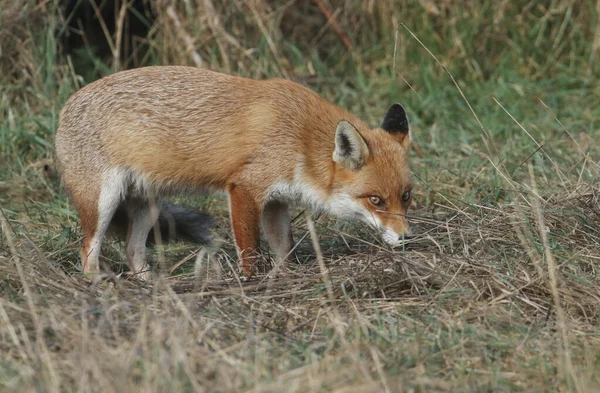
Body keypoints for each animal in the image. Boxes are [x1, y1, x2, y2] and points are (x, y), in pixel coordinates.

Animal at [54, 65, 412, 278]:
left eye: (406, 197)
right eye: (376, 200)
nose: (407, 238)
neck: (300, 135)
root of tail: (63, 107)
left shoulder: (277, 201)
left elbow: (283, 248)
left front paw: (283, 276)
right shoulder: (244, 189)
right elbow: (250, 250)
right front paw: (250, 281)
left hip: (148, 206)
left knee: (132, 249)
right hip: (102, 203)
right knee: (87, 249)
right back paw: (98, 285)